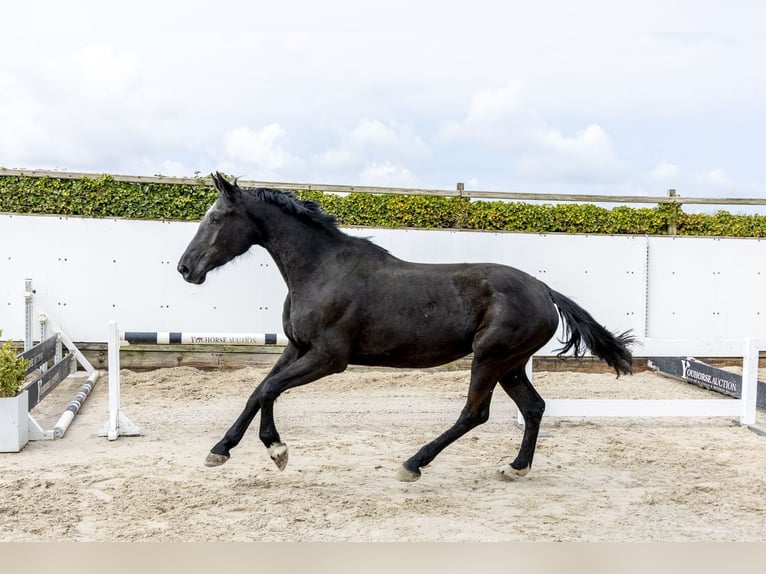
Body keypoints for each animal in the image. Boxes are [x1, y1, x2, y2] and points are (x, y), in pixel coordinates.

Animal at [178, 173, 634, 482]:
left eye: (216, 218)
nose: (185, 268)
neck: (321, 270)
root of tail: (544, 290)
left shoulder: (329, 357)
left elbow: (270, 388)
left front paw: (277, 450)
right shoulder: (296, 347)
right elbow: (258, 391)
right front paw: (221, 450)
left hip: (490, 358)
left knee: (475, 413)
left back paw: (413, 463)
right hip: (512, 364)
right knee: (533, 408)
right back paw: (515, 468)